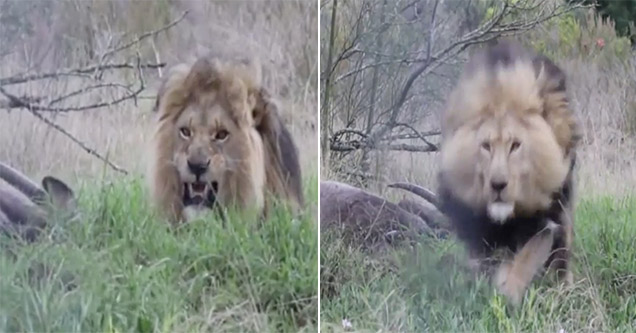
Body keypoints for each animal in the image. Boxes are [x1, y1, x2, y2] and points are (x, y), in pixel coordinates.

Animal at [438, 40, 580, 304]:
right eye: (486, 146)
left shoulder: (545, 221)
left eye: (515, 145)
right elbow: (483, 262)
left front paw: (507, 296)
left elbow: (526, 260)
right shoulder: (477, 228)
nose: (498, 185)